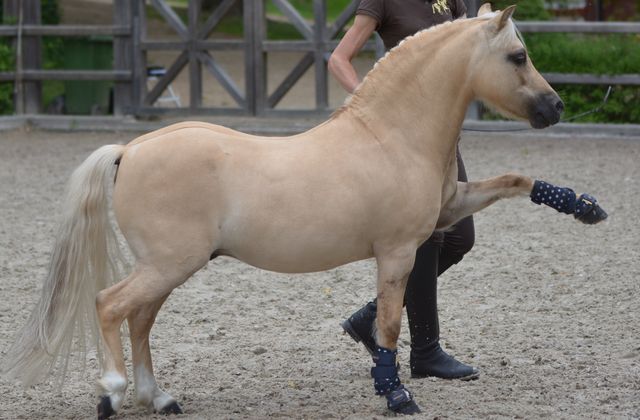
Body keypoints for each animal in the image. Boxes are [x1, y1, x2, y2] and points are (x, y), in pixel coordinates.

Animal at [3, 5, 566, 417]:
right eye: (518, 55)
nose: (555, 107)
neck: (391, 136)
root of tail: (131, 149)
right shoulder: (398, 252)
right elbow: (388, 325)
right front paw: (397, 396)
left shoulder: (447, 213)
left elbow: (516, 181)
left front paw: (575, 204)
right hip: (167, 264)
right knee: (109, 305)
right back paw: (112, 391)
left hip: (167, 268)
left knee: (139, 319)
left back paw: (159, 398)